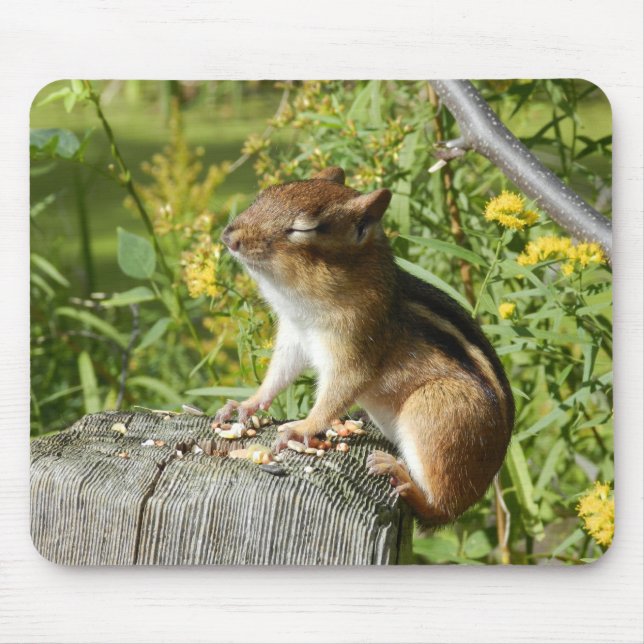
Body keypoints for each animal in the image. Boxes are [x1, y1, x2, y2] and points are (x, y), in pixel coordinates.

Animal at [216, 166, 514, 525]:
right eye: (265, 194)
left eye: (304, 228)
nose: (228, 237)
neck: (301, 304)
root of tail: (475, 494)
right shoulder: (294, 336)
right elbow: (279, 374)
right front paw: (246, 404)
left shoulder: (356, 346)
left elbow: (337, 393)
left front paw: (302, 427)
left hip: (435, 410)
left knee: (437, 505)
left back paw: (398, 473)